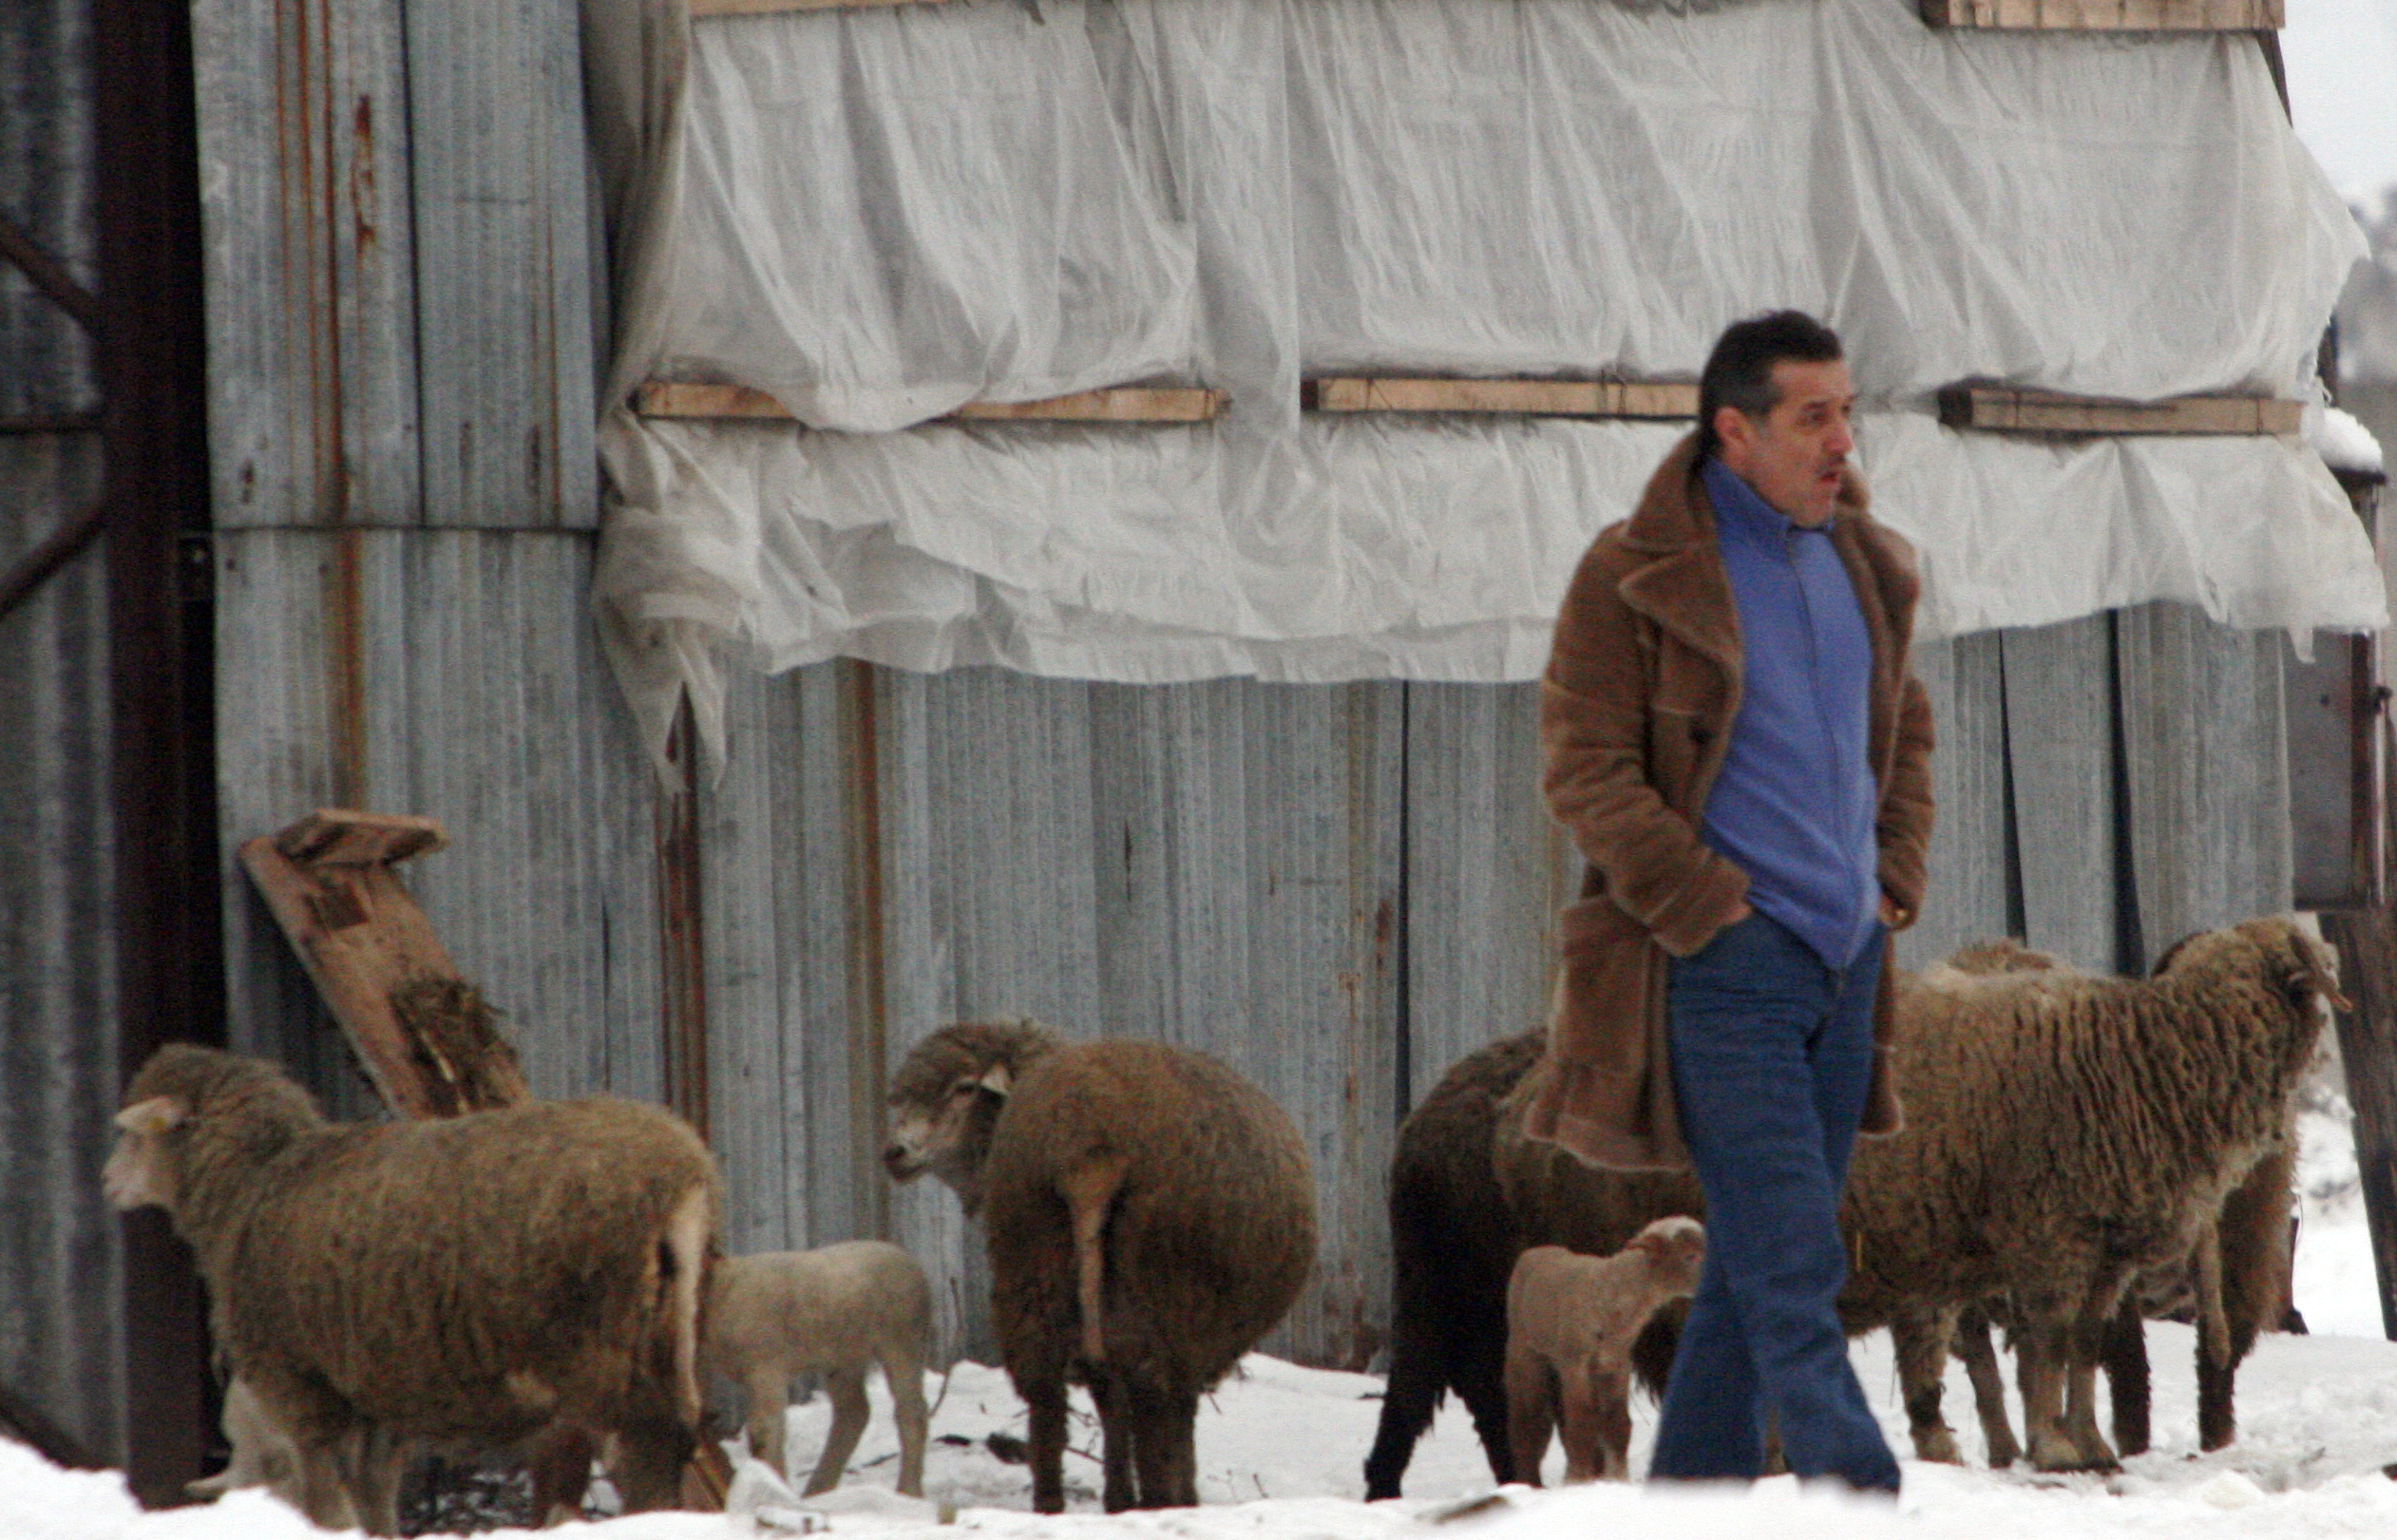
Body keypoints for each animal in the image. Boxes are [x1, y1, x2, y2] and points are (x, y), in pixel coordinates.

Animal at [105, 1036, 718, 1525]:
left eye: (133, 1136)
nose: (108, 1182)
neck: (251, 1183)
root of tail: (682, 1177)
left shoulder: (304, 1384)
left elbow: (326, 1504)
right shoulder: (379, 1394)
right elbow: (373, 1498)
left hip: (594, 1346)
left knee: (643, 1449)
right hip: (672, 1331)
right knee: (677, 1437)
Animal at [699, 1237, 934, 1496]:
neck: (724, 1286)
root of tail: (908, 1259)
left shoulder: (766, 1366)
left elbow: (764, 1429)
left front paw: (775, 1488)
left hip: (902, 1338)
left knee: (912, 1411)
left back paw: (909, 1489)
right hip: (846, 1354)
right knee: (853, 1413)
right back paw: (819, 1489)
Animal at [891, 1012, 1322, 1506]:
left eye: (963, 1087)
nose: (894, 1152)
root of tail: (1088, 1148)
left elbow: (1109, 1399)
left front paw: (1117, 1497)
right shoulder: (1191, 1341)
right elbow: (1172, 1415)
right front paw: (1173, 1496)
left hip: (1033, 1253)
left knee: (1046, 1393)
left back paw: (1052, 1504)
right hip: (1159, 1284)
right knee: (1151, 1398)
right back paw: (1158, 1501)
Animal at [1495, 1218, 1706, 1477]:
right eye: (1690, 1256)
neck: (1609, 1294)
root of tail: (1535, 1251)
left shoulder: (1617, 1363)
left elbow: (1617, 1425)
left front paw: (1618, 1478)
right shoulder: (1575, 1362)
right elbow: (1581, 1425)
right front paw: (1577, 1479)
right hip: (1525, 1351)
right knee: (1528, 1425)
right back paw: (1529, 1480)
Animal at [1840, 916, 2330, 1468]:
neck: (2147, 1063)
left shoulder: (2106, 1253)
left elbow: (2087, 1344)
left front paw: (2090, 1443)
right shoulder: (2049, 1234)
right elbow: (2053, 1341)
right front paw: (2056, 1448)